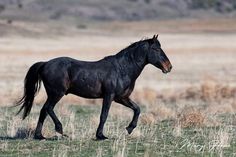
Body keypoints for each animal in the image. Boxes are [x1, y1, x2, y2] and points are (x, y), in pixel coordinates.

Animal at [16, 35, 171, 140]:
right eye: (156, 49)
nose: (169, 67)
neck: (121, 69)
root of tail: (45, 63)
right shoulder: (109, 96)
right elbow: (104, 115)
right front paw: (100, 135)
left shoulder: (122, 98)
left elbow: (137, 109)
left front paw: (129, 128)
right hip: (57, 93)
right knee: (48, 108)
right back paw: (60, 130)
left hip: (53, 94)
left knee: (44, 110)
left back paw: (39, 135)